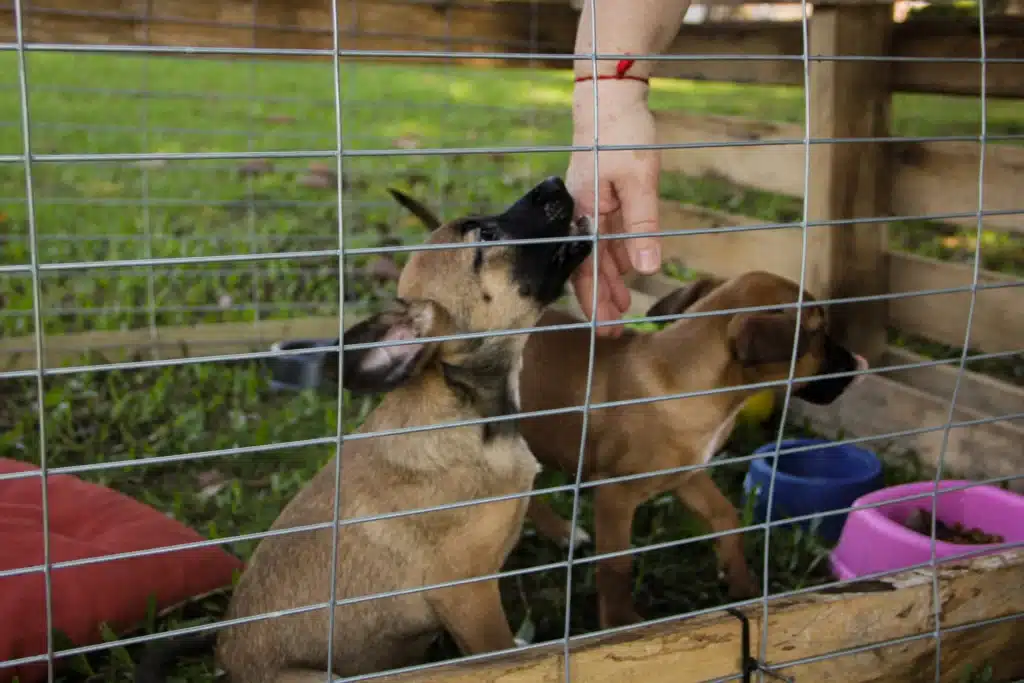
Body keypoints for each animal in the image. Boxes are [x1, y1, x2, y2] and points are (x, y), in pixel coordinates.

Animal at [134, 178, 593, 683]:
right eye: (486, 237)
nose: (554, 182)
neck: (468, 409)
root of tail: (223, 654)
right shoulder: (468, 596)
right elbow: (502, 655)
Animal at [385, 185, 872, 630]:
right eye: (820, 338)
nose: (859, 365)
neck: (681, 376)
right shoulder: (615, 496)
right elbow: (617, 566)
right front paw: (620, 622)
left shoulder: (688, 475)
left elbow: (726, 516)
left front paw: (743, 585)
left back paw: (562, 532)